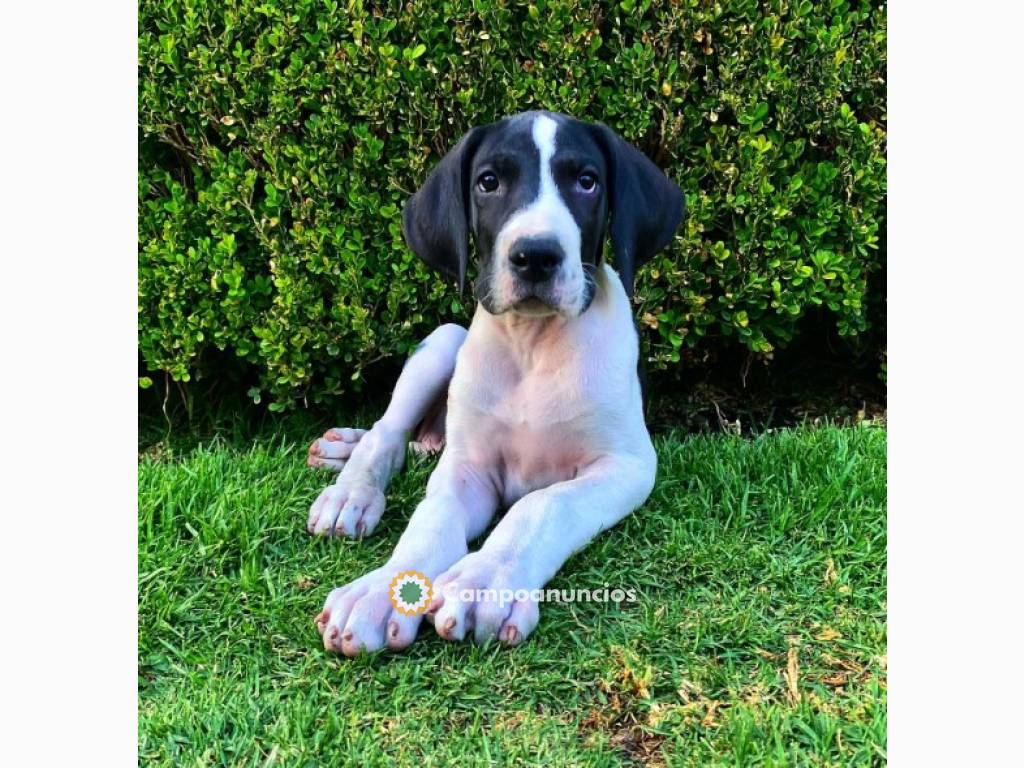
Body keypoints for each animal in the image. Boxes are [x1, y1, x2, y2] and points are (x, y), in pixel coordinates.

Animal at [307, 111, 684, 659]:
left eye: (586, 181)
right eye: (489, 182)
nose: (536, 256)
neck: (534, 344)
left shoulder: (626, 465)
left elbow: (542, 505)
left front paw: (483, 580)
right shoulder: (467, 468)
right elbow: (430, 522)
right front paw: (380, 589)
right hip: (445, 340)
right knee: (386, 435)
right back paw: (349, 489)